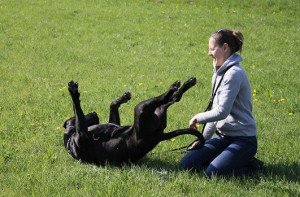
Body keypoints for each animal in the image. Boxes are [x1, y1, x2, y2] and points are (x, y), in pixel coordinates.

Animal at [62, 77, 204, 165]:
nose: (93, 113)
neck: (70, 139)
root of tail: (159, 135)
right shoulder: (82, 133)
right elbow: (77, 106)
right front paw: (73, 93)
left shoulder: (112, 123)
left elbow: (112, 105)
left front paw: (122, 98)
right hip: (142, 109)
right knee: (167, 98)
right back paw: (175, 87)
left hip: (153, 110)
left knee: (173, 98)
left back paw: (186, 84)